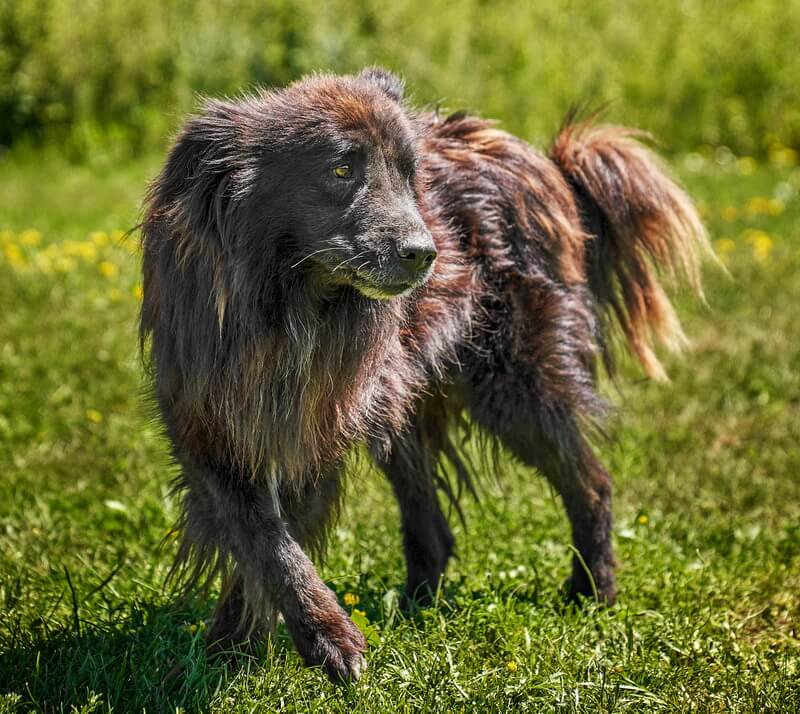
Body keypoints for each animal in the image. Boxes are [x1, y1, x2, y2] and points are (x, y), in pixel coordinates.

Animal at [140, 68, 707, 681]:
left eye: (411, 175)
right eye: (341, 169)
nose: (425, 254)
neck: (287, 305)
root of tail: (543, 162)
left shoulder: (315, 427)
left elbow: (277, 540)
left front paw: (287, 642)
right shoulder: (207, 428)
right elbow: (261, 538)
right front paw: (241, 646)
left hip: (513, 389)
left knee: (593, 483)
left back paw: (591, 591)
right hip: (400, 406)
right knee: (432, 527)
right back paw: (413, 609)